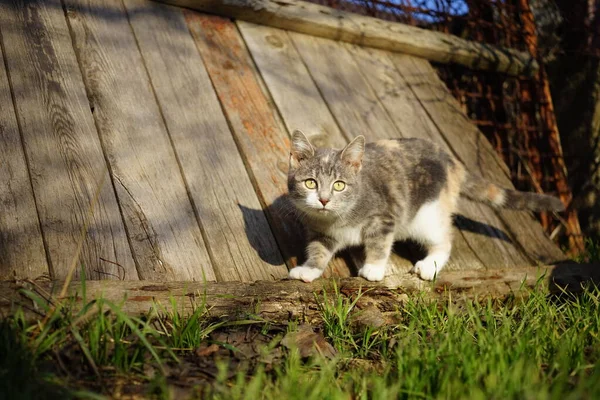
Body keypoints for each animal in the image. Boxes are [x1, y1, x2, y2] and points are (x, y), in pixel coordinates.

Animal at [284, 130, 564, 282]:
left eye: (340, 185)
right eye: (310, 183)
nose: (323, 199)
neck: (338, 219)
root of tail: (451, 159)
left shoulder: (384, 216)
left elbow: (379, 242)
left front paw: (374, 267)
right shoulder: (320, 232)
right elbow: (319, 250)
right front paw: (309, 270)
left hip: (427, 215)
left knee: (445, 239)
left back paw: (430, 264)